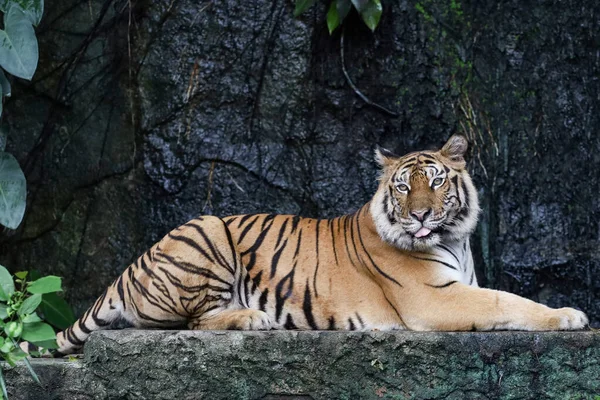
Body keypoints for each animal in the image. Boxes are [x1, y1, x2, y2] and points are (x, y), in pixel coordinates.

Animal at [57, 136, 592, 354]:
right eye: (404, 186)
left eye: (437, 181)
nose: (420, 214)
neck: (454, 238)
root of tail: (130, 267)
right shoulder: (434, 298)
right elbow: (508, 302)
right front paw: (569, 316)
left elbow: (505, 297)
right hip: (206, 230)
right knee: (189, 322)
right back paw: (253, 318)